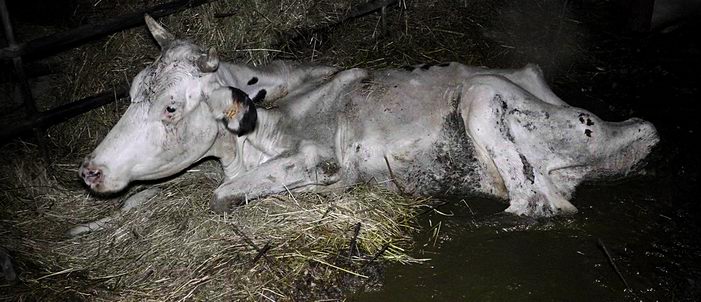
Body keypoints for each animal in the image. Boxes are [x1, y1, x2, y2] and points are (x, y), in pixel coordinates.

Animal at [79, 15, 660, 218]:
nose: (90, 171)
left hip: (482, 96)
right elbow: (147, 197)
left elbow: (221, 195)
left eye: (171, 107)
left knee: (532, 203)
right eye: (132, 92)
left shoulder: (311, 155)